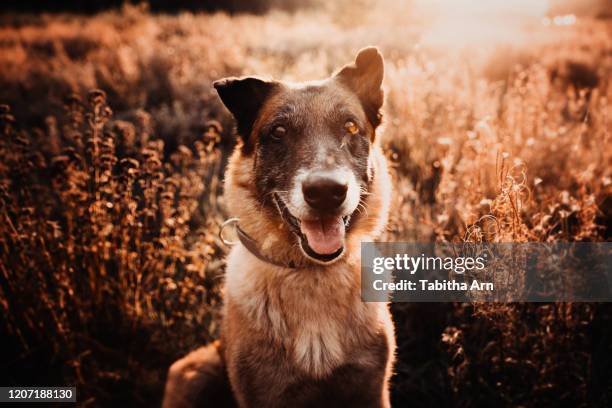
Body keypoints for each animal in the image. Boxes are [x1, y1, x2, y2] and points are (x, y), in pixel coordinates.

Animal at [161, 46, 396, 406]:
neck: (311, 276)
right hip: (193, 372)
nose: (326, 192)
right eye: (279, 132)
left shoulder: (371, 389)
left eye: (350, 127)